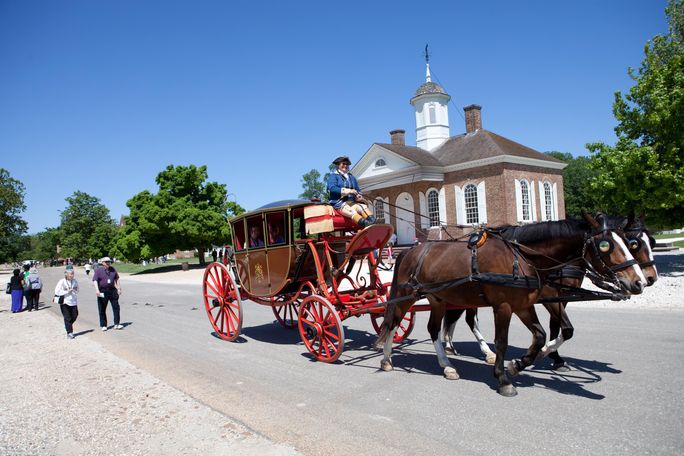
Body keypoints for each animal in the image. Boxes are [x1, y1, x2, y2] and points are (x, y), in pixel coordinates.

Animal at [376, 214, 644, 396]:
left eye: (629, 242)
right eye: (606, 246)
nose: (639, 282)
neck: (521, 257)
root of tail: (411, 251)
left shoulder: (524, 305)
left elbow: (540, 335)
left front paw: (518, 365)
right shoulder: (503, 306)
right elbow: (502, 342)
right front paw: (503, 378)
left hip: (439, 299)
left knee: (433, 329)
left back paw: (446, 365)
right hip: (407, 295)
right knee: (393, 322)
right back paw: (387, 359)